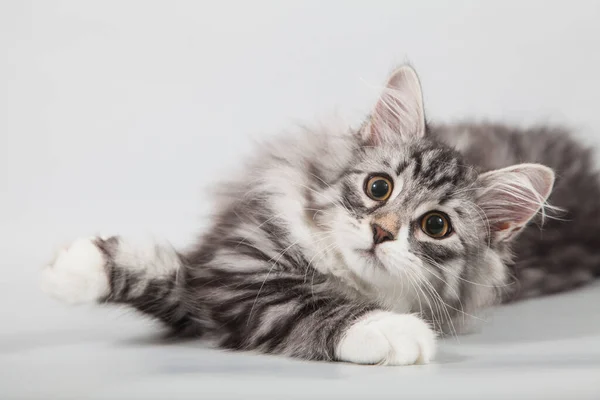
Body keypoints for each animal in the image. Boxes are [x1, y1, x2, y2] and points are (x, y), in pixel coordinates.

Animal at [39, 65, 596, 366]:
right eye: (379, 187)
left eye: (435, 225)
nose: (381, 231)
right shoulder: (229, 266)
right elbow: (160, 268)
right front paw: (71, 269)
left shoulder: (230, 290)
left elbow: (304, 303)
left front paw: (393, 329)